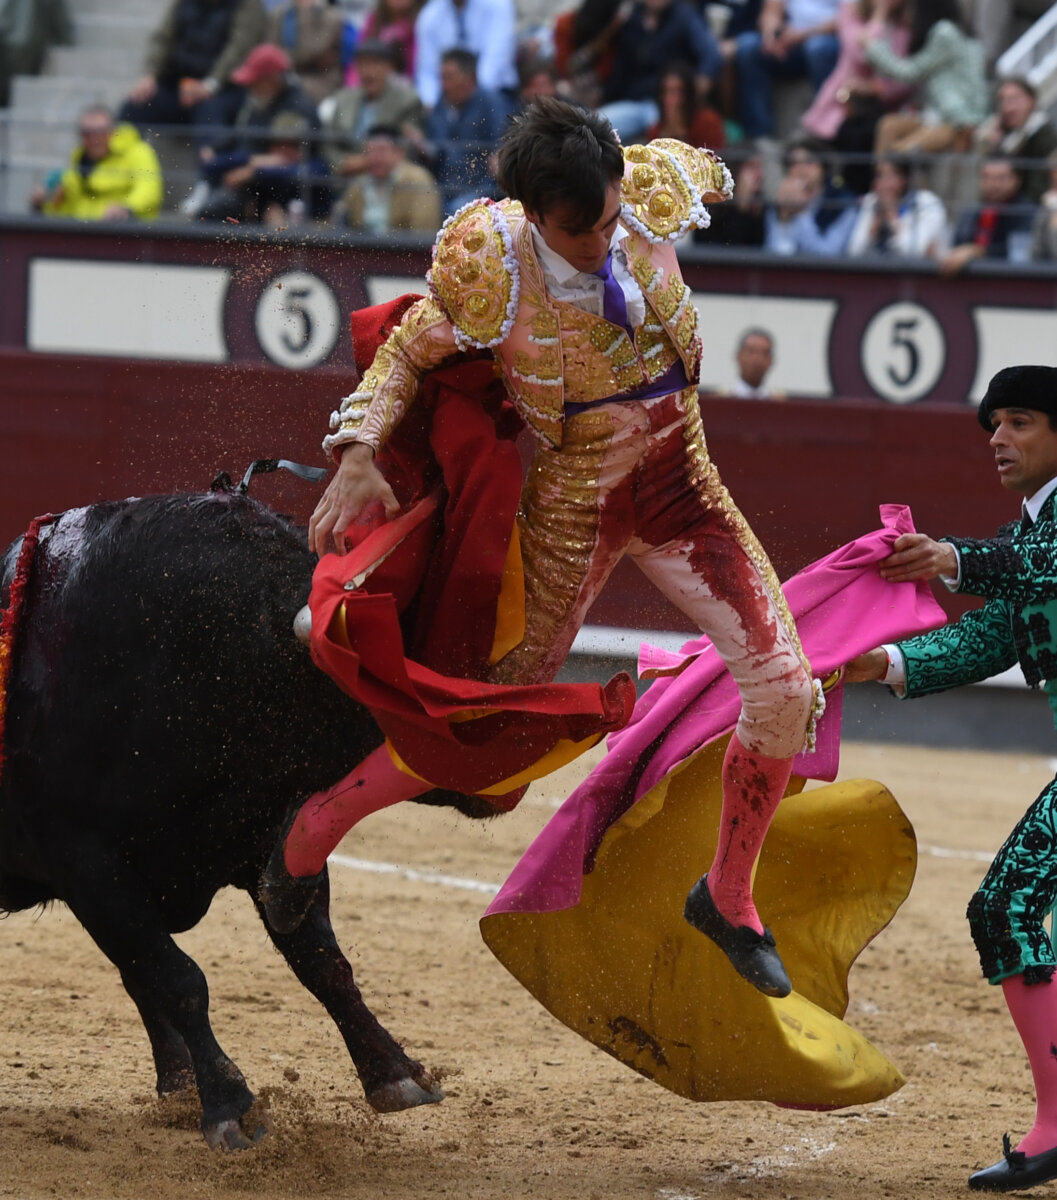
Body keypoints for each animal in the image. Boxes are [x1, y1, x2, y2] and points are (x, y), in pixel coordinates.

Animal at [0, 481, 496, 1150]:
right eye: (385, 664)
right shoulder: (87, 868)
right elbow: (179, 978)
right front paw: (231, 1107)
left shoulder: (269, 840)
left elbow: (321, 962)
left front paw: (395, 1074)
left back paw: (178, 1083)